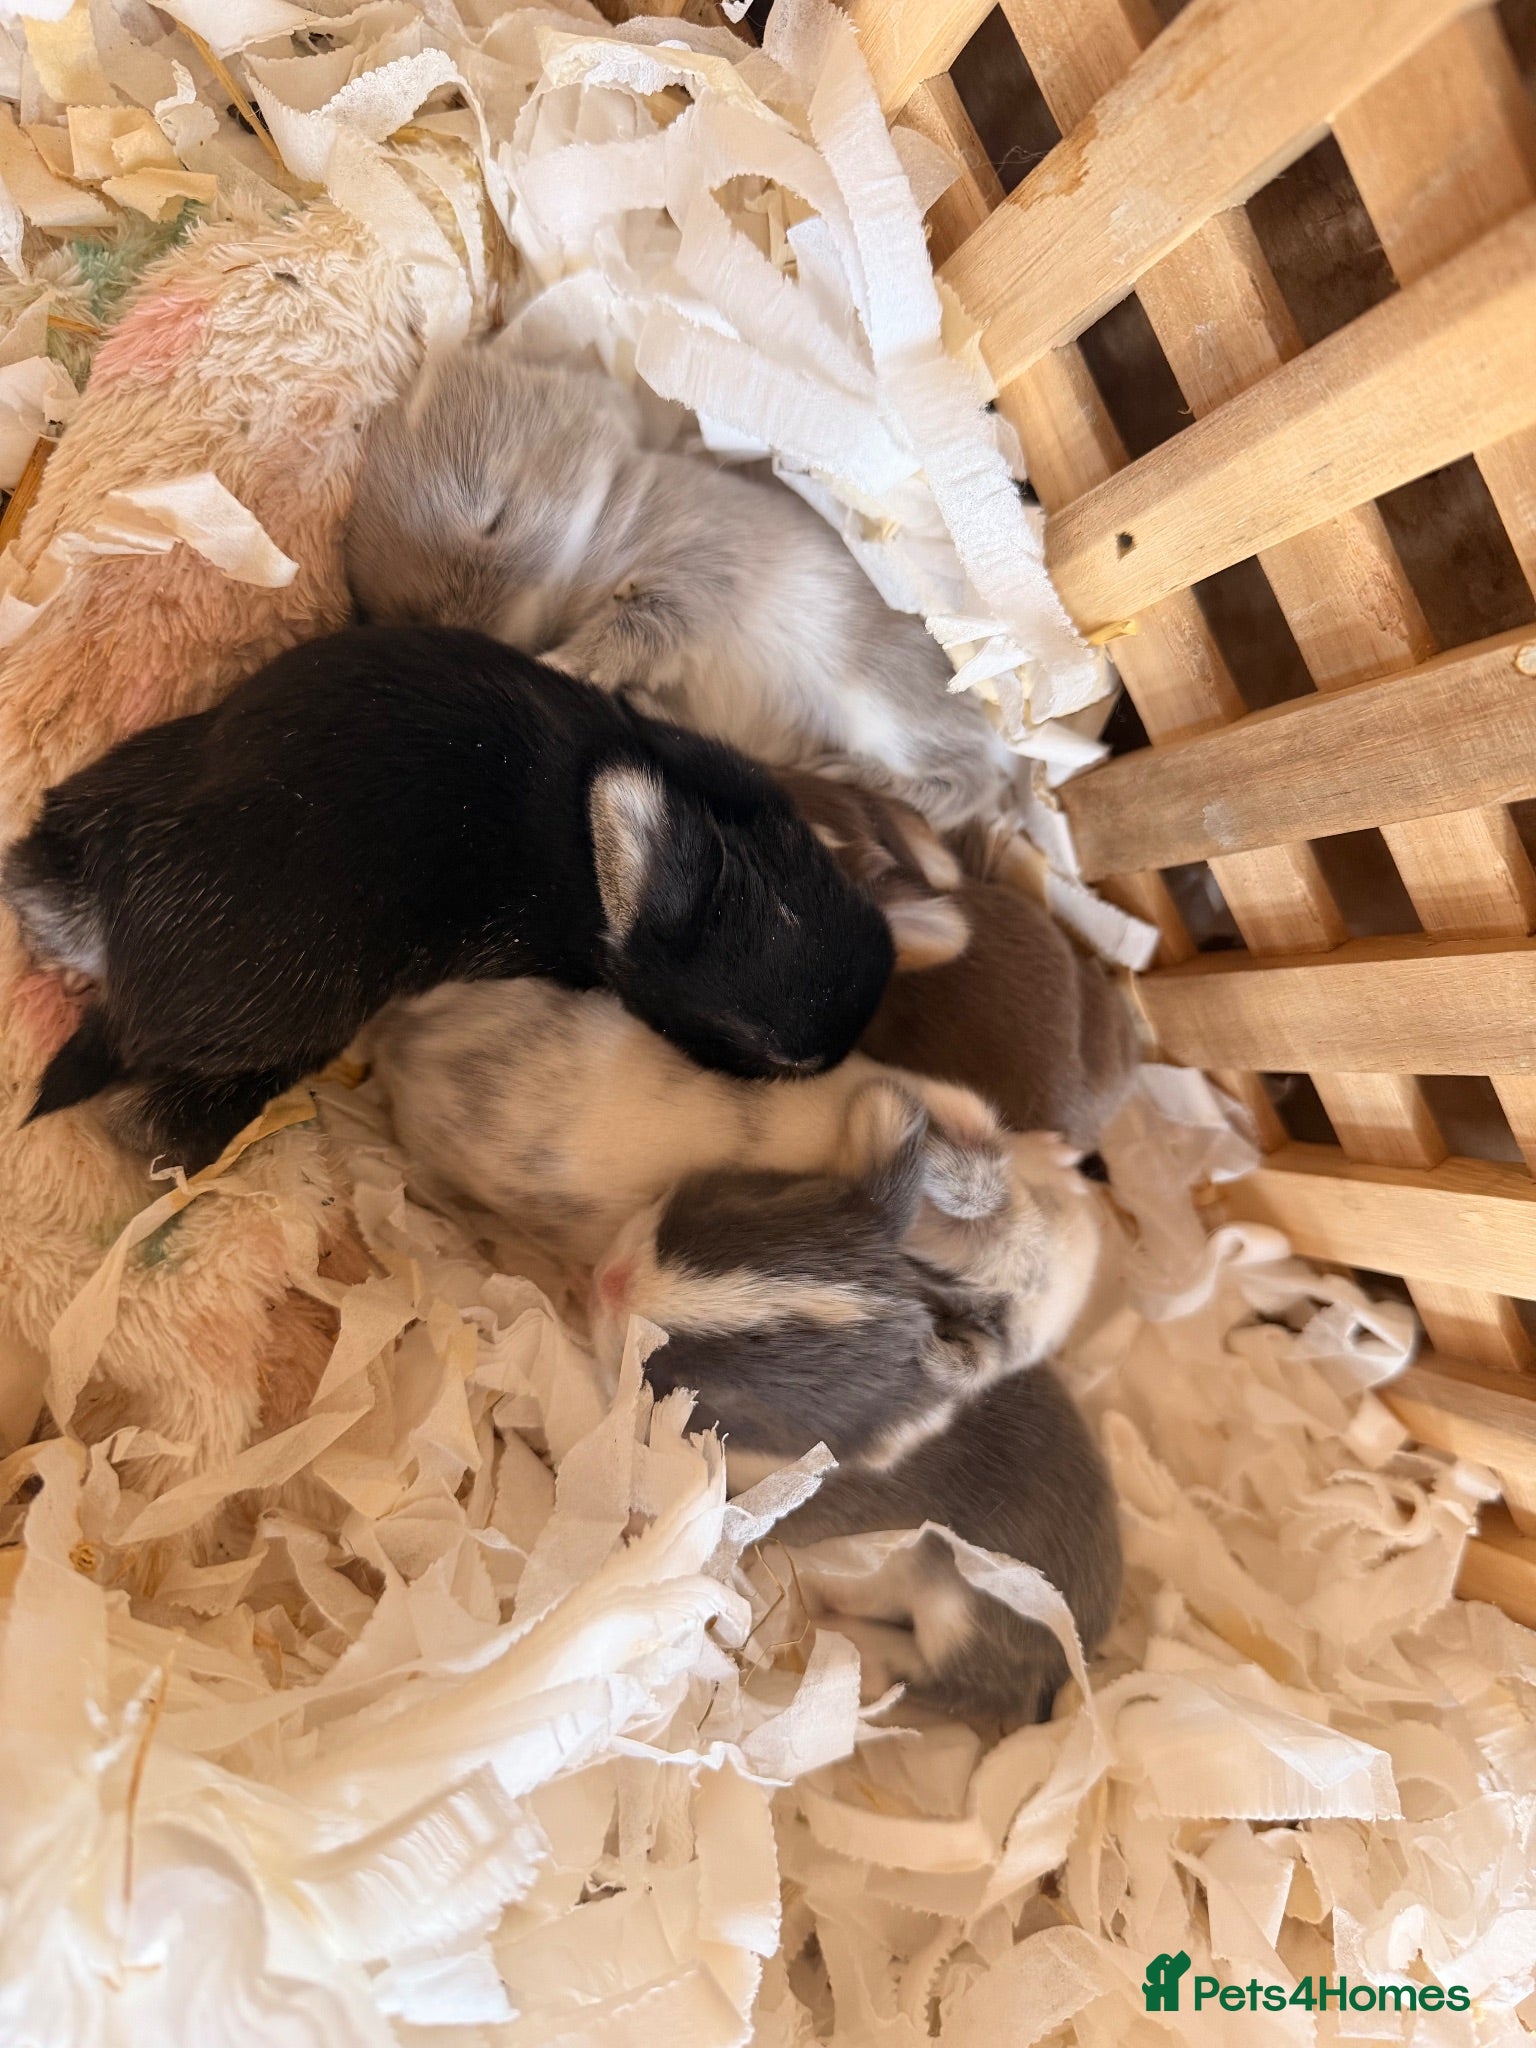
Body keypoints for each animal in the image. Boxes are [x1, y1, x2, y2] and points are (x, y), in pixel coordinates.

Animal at [3, 625, 894, 1170]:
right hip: (284, 1034)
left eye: (816, 861)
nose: (853, 1023)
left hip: (117, 788)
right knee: (160, 1119)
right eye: (763, 1049)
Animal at [343, 344, 1019, 829]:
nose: (465, 628)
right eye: (401, 608)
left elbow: (643, 625)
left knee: (966, 784)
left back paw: (840, 770)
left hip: (887, 702)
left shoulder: (698, 564)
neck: (605, 521)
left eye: (493, 516)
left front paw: (563, 664)